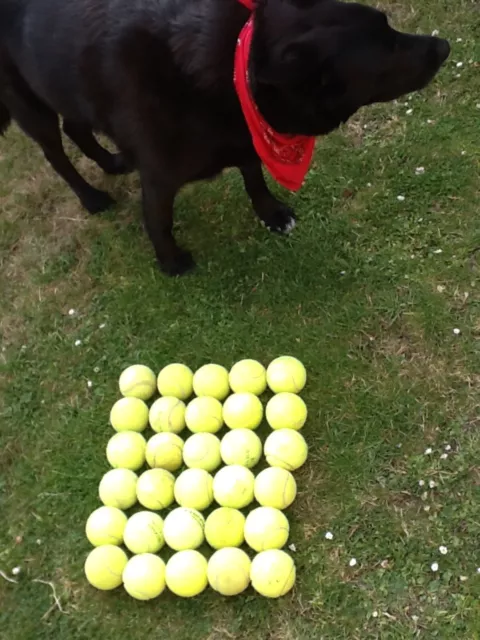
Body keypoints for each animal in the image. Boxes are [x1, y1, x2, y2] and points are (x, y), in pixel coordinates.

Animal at [0, 0, 450, 276]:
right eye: (386, 48)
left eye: (390, 27)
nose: (444, 45)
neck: (235, 65)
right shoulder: (159, 176)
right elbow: (158, 219)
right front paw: (171, 261)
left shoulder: (246, 137)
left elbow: (254, 177)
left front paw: (271, 214)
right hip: (30, 105)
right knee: (56, 153)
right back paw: (91, 198)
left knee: (76, 127)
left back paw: (113, 161)